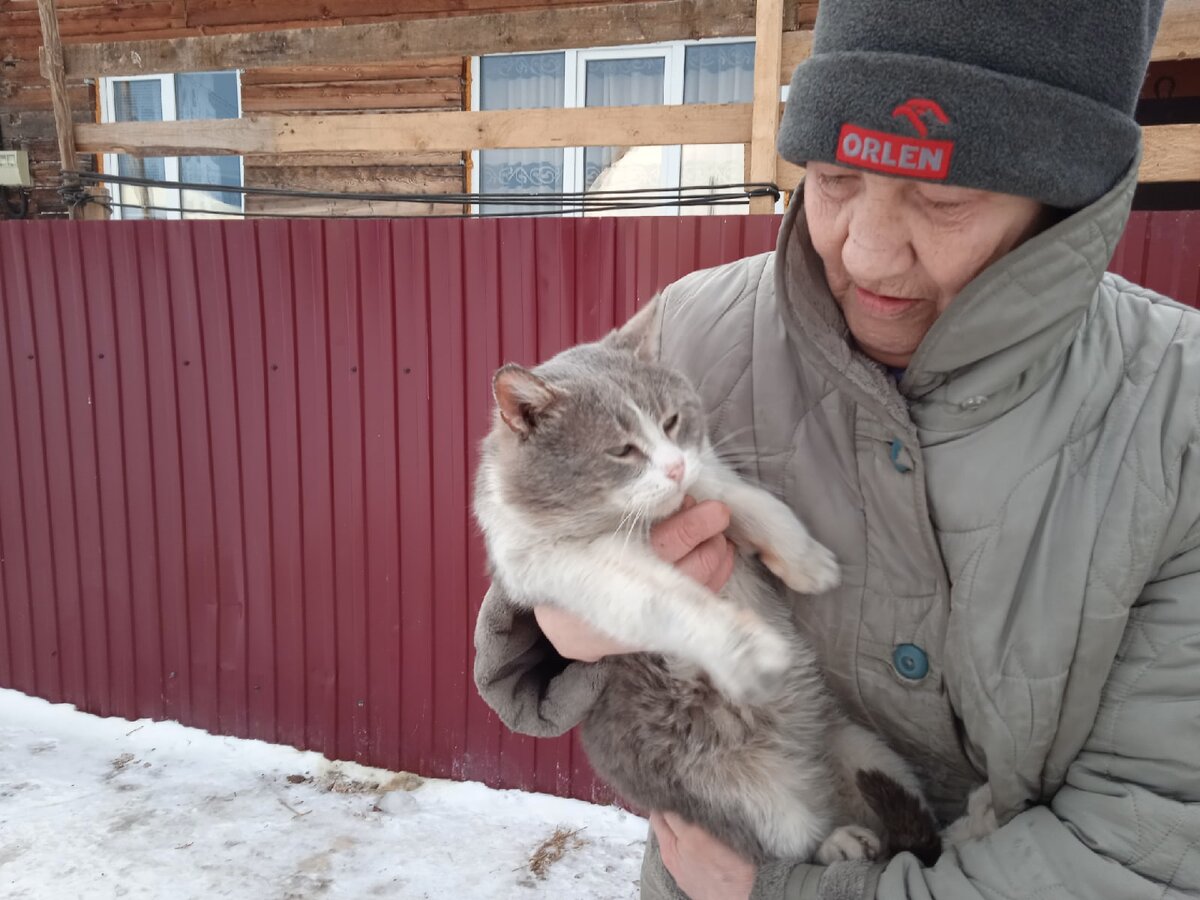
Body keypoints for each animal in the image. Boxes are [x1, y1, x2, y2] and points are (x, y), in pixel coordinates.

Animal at [472, 297, 960, 868]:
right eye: (622, 451)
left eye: (672, 421)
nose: (673, 468)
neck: (649, 520)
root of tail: (808, 770)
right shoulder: (570, 566)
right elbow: (672, 599)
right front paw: (745, 647)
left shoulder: (705, 473)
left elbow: (743, 497)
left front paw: (806, 559)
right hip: (737, 794)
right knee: (789, 843)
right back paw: (839, 842)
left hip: (866, 749)